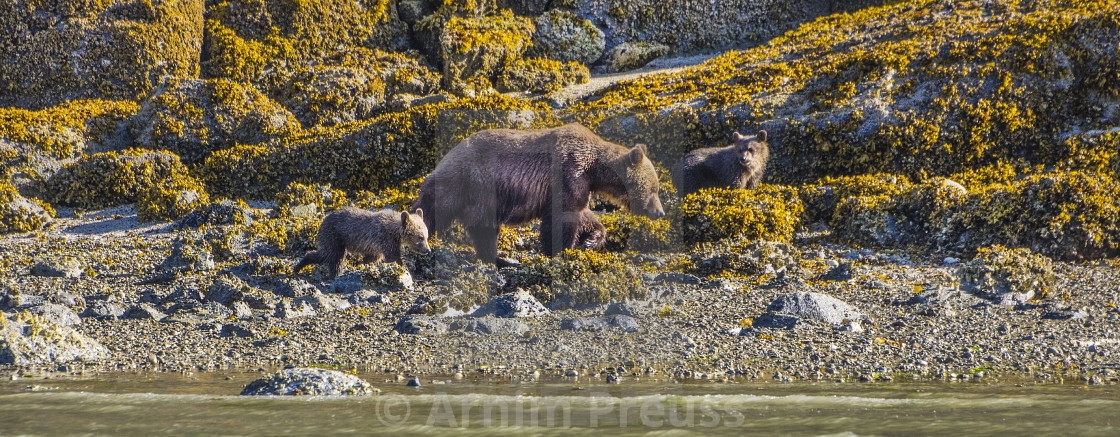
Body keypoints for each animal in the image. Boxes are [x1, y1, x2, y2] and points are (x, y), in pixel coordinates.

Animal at [414, 122, 663, 266]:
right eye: (654, 188)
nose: (659, 212)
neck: (595, 169)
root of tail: (446, 157)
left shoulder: (579, 186)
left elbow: (582, 214)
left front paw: (591, 240)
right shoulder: (568, 172)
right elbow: (561, 218)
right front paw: (562, 250)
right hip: (474, 184)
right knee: (461, 218)